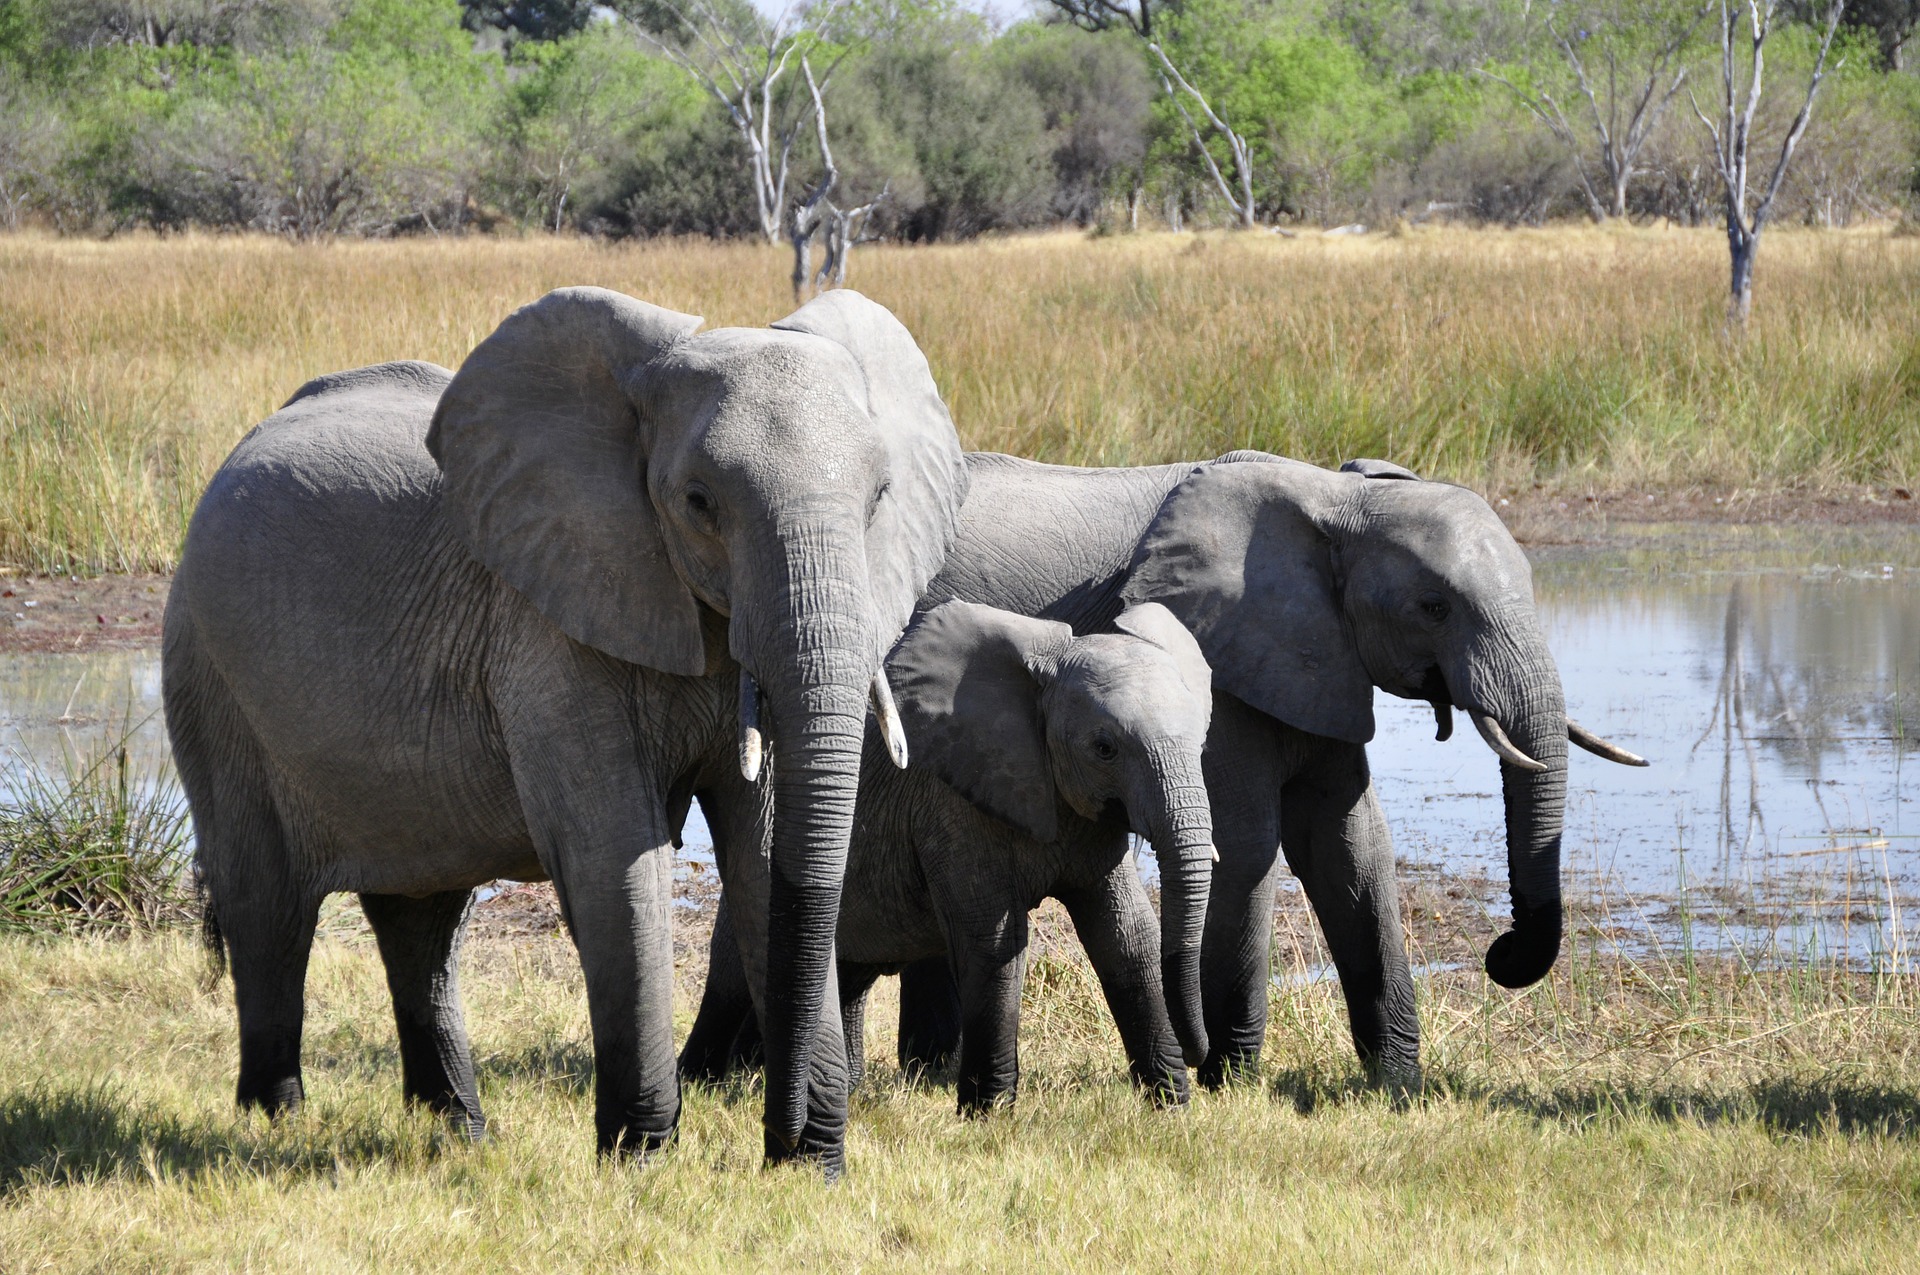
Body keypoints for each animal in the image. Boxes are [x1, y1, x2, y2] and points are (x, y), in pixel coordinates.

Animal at [161, 284, 975, 1167]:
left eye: (880, 498)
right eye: (699, 502)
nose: (788, 1137)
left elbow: (762, 852)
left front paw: (808, 1167)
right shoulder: (548, 625)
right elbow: (613, 854)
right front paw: (640, 1156)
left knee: (422, 917)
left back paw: (458, 1132)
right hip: (208, 670)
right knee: (267, 904)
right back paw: (275, 1120)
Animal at [679, 595, 1213, 1106]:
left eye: (1201, 742)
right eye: (1104, 748)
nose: (1199, 1055)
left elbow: (1127, 937)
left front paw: (1171, 1104)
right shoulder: (949, 805)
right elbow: (993, 943)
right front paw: (988, 1113)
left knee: (849, 976)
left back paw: (841, 1089)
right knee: (734, 974)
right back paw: (700, 1084)